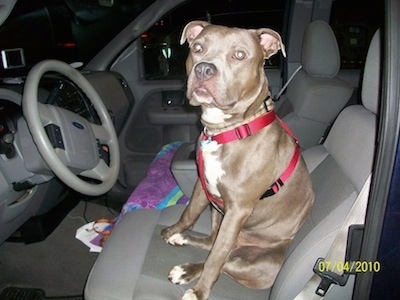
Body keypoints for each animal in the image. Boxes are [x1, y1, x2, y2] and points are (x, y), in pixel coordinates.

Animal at [161, 21, 314, 300]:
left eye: (240, 55)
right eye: (197, 48)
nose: (204, 68)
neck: (229, 129)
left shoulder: (237, 210)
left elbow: (215, 260)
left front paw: (199, 292)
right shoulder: (202, 185)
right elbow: (190, 212)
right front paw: (175, 230)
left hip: (254, 261)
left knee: (223, 260)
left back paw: (188, 272)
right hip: (218, 216)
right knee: (213, 242)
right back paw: (182, 240)